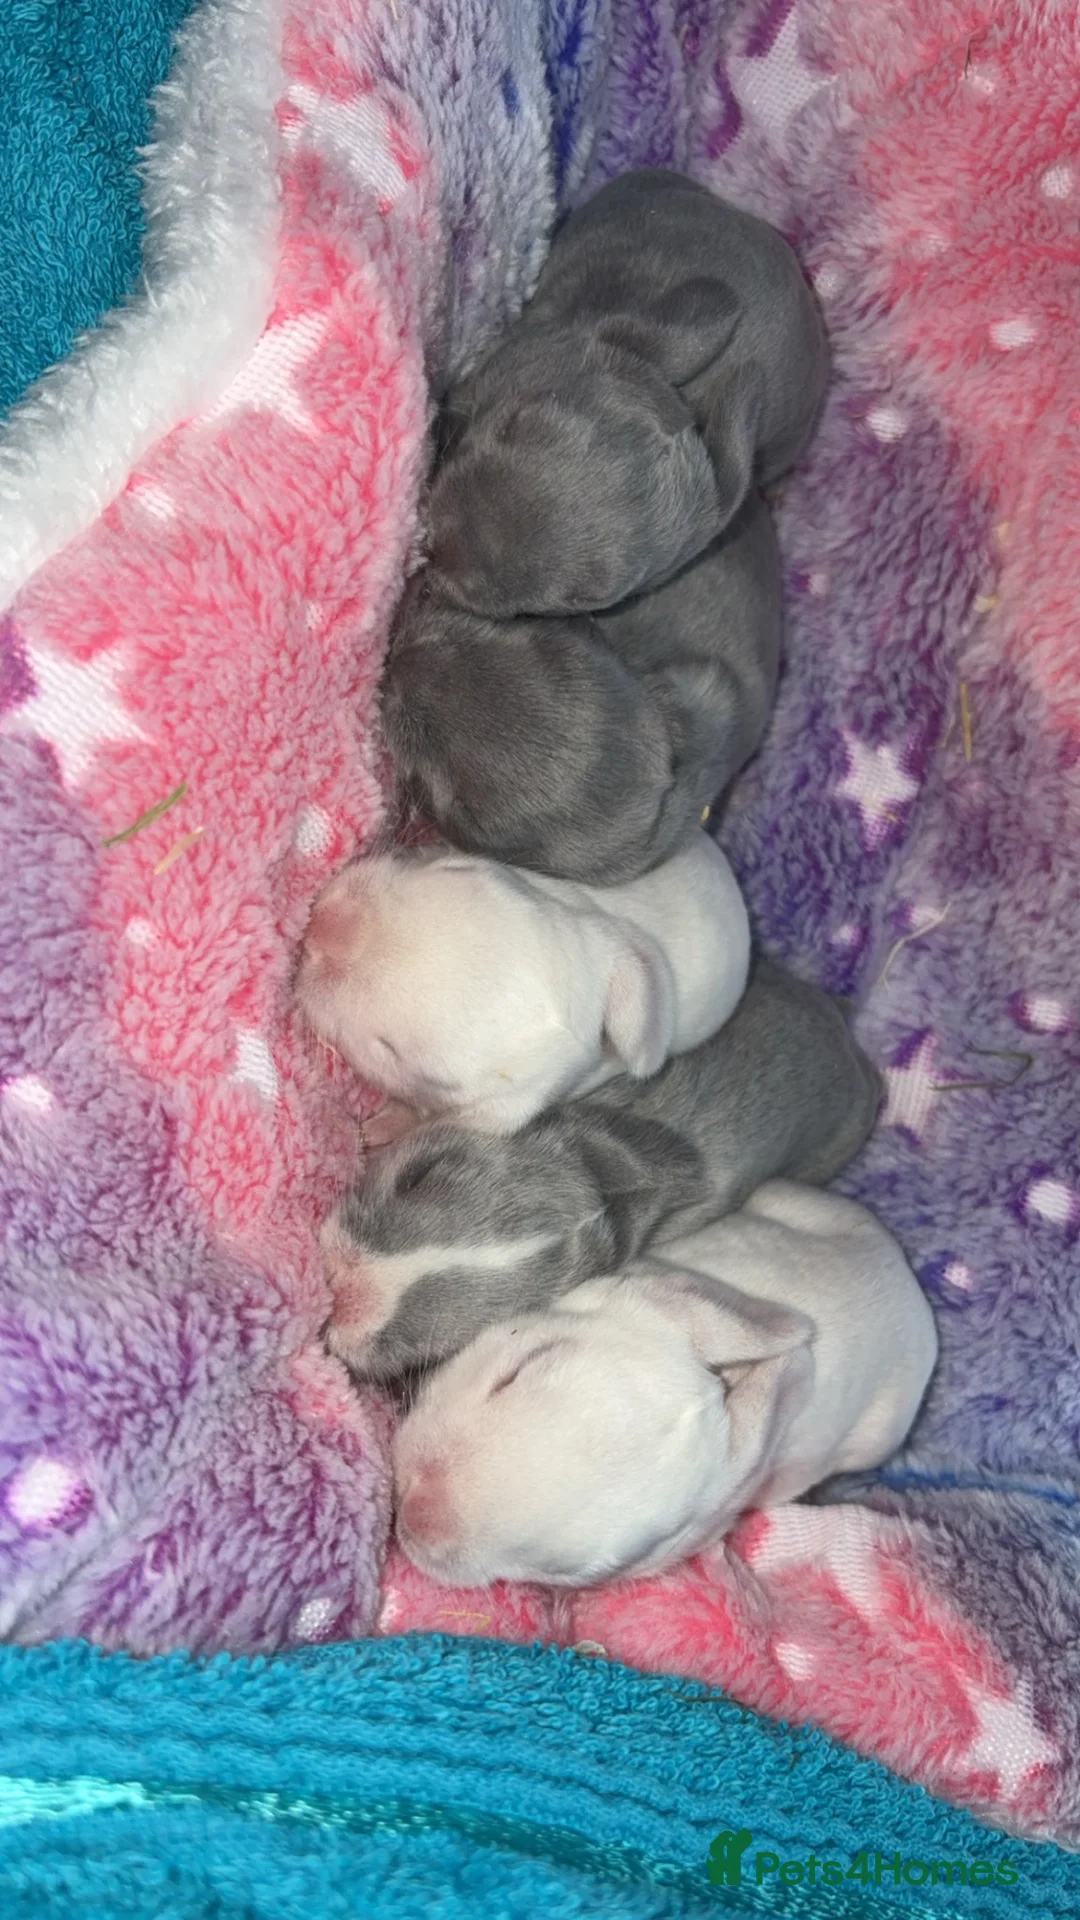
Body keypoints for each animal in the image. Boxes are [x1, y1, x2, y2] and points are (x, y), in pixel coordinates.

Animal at [320, 958, 882, 1382]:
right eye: (421, 1173)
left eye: (456, 1339)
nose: (340, 1291)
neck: (609, 1193)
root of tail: (856, 1054)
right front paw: (381, 1124)